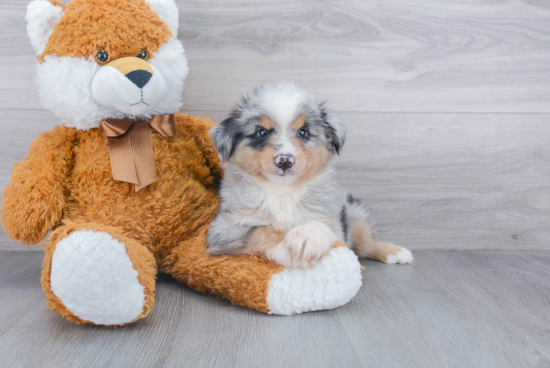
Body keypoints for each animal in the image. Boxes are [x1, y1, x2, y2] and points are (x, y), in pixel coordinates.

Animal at [207, 82, 414, 268]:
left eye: (304, 132)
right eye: (262, 132)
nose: (285, 160)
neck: (282, 191)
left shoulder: (334, 224)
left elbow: (321, 225)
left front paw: (306, 237)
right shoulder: (223, 229)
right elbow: (260, 230)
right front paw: (286, 248)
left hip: (353, 211)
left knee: (366, 243)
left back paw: (396, 252)